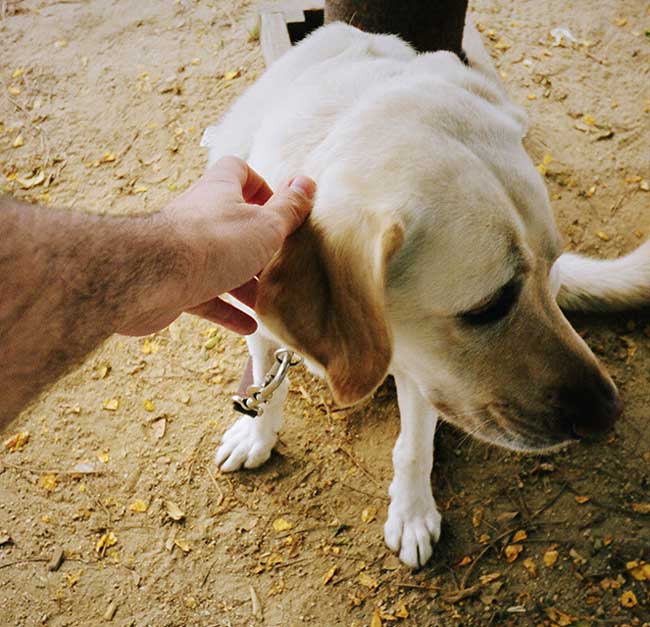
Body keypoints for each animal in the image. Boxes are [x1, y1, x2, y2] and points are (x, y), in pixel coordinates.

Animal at [200, 22, 644, 568]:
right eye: (488, 307)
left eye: (551, 267)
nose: (610, 411)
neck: (334, 115)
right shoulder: (260, 326)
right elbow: (269, 383)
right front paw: (258, 436)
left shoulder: (425, 375)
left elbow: (413, 448)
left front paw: (411, 513)